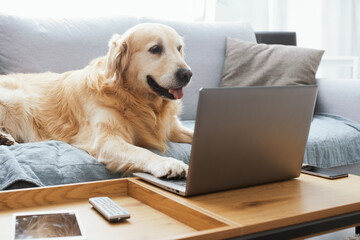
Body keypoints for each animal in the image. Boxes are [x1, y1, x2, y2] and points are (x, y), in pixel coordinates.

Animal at [0, 23, 194, 179]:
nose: (187, 74)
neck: (135, 99)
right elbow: (142, 151)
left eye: (179, 48)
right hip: (17, 100)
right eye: (155, 49)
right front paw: (168, 163)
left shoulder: (172, 128)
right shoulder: (106, 141)